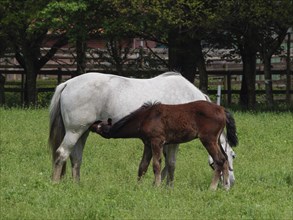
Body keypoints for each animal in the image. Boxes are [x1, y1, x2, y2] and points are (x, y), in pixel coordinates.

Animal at [48, 72, 235, 186]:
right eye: (233, 155)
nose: (230, 183)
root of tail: (67, 83)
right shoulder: (170, 142)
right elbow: (169, 164)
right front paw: (166, 187)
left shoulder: (162, 141)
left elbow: (163, 164)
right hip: (74, 132)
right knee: (61, 154)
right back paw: (55, 183)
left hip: (83, 132)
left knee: (76, 158)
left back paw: (76, 185)